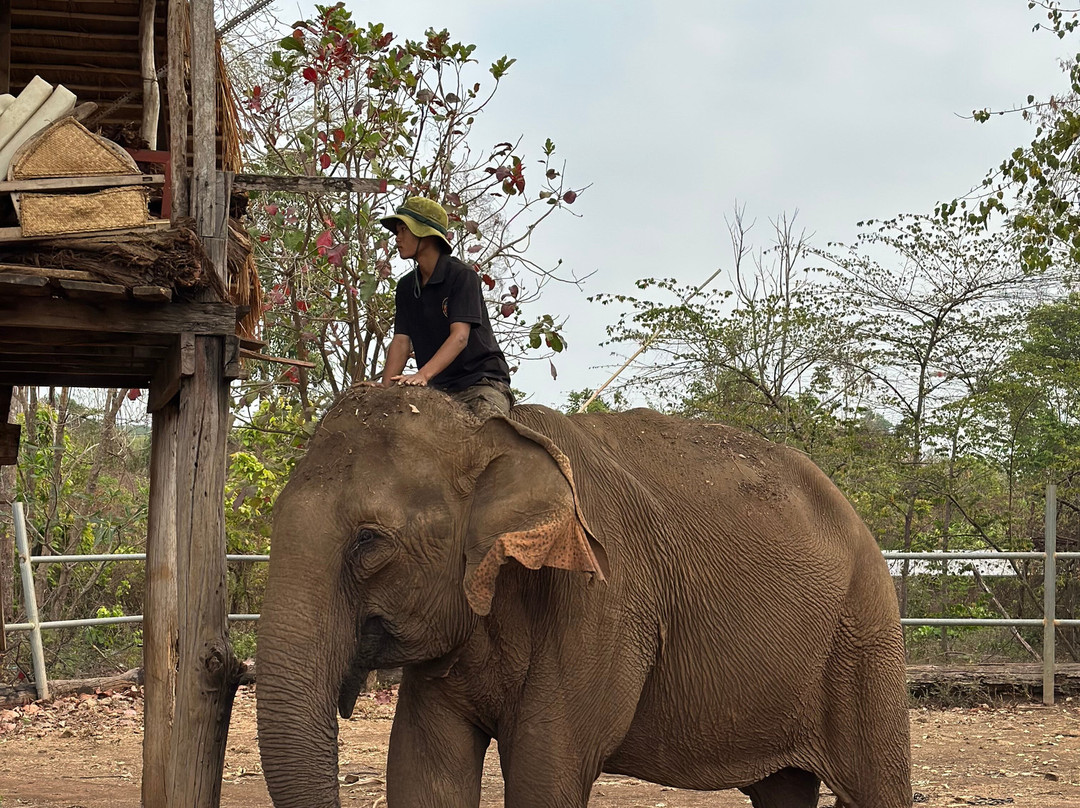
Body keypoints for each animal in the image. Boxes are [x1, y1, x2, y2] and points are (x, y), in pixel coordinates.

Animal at [256, 386, 911, 808]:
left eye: (369, 542)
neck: (487, 435)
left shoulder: (603, 597)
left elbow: (546, 772)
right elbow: (425, 771)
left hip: (864, 637)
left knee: (875, 786)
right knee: (781, 790)